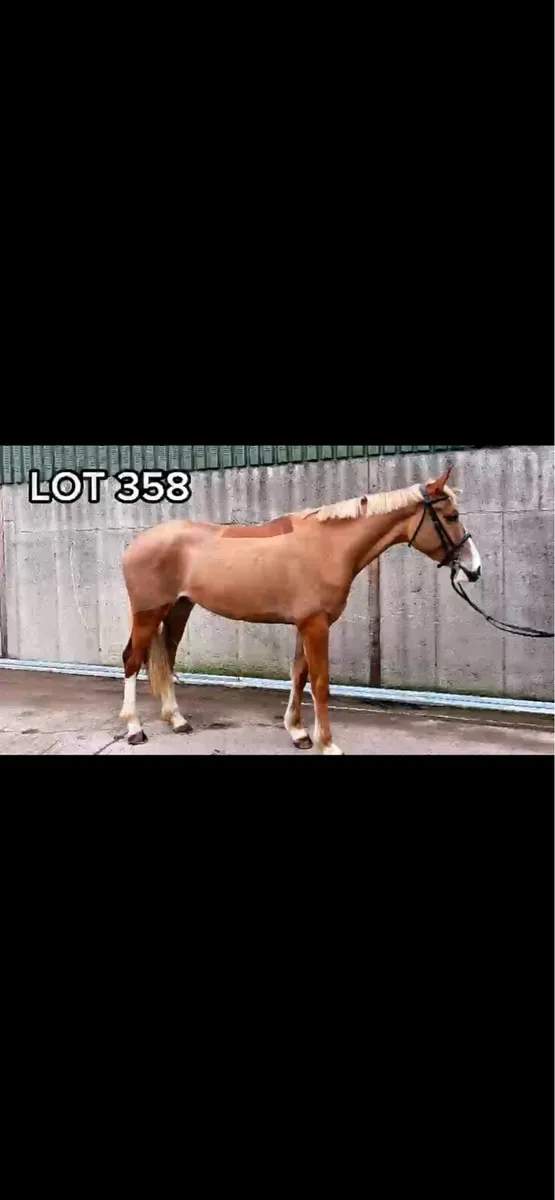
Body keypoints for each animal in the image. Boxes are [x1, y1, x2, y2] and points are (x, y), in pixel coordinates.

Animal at [119, 467, 482, 754]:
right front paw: (328, 744)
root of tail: (135, 545)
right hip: (148, 613)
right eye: (451, 516)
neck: (328, 546)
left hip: (179, 609)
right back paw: (135, 728)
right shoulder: (315, 625)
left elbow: (299, 676)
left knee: (165, 658)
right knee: (133, 660)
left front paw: (298, 732)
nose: (474, 570)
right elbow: (320, 684)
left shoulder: (305, 625)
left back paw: (177, 719)